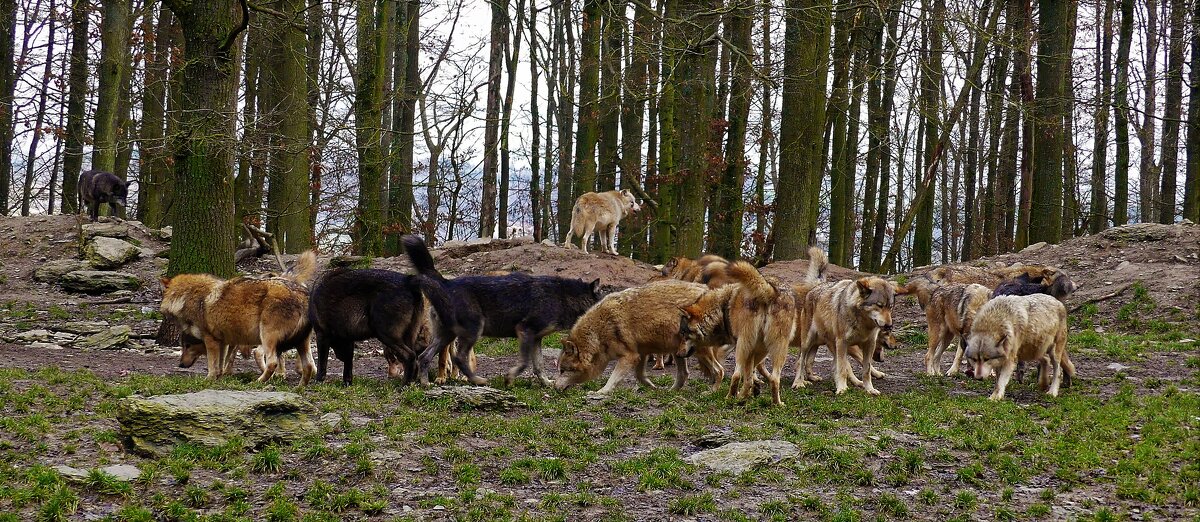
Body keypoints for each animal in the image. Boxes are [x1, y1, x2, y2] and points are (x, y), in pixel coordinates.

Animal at [403, 235, 604, 386]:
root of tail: (446, 282)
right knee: (459, 358)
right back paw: (478, 381)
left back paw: (425, 384)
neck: (561, 297)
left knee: (424, 357)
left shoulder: (536, 338)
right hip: (472, 332)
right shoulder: (525, 331)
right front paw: (509, 379)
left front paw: (547, 383)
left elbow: (538, 366)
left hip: (446, 336)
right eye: (602, 299)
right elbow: (524, 363)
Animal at [554, 279, 710, 393]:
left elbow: (612, 379)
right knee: (684, 374)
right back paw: (671, 391)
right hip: (678, 351)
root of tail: (708, 289)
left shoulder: (629, 356)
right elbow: (640, 376)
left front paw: (600, 393)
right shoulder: (640, 354)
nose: (553, 387)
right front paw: (653, 387)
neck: (598, 333)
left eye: (563, 371)